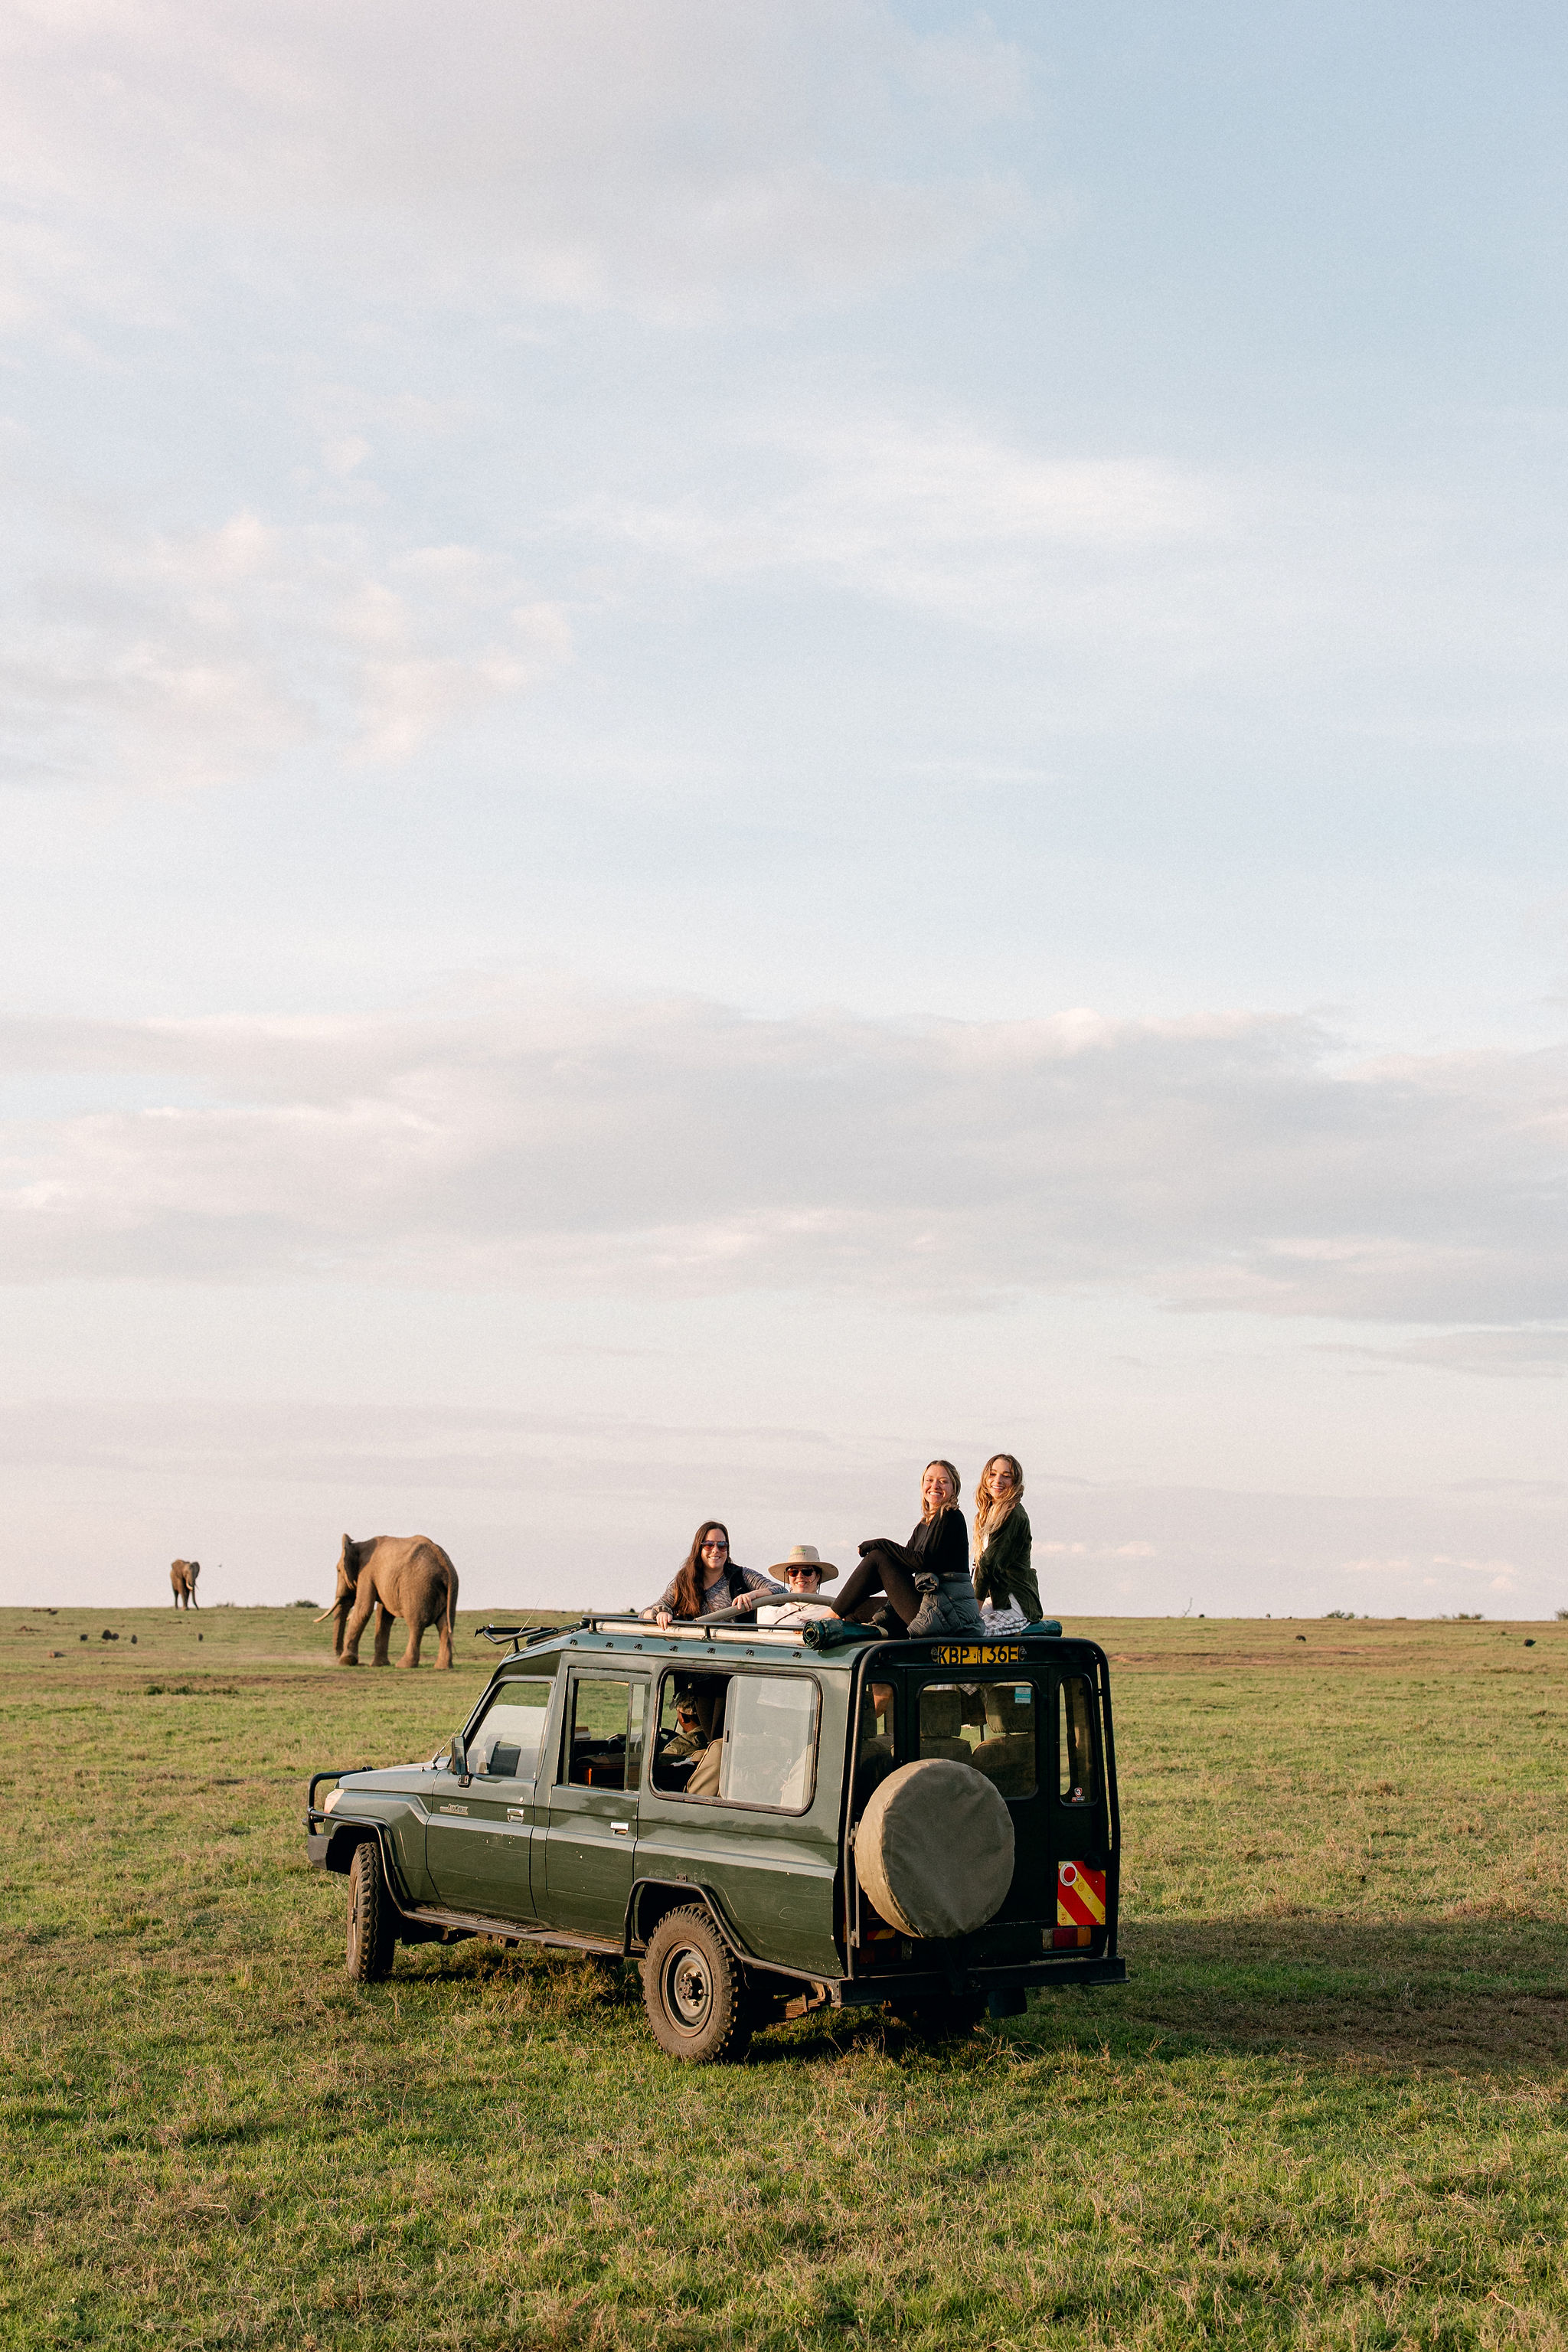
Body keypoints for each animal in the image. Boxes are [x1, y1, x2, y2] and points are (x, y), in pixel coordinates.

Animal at [315, 1524, 456, 1674]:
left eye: (338, 1570)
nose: (337, 1654)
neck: (359, 1545)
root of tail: (445, 1565)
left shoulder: (367, 1573)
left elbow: (364, 1609)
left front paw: (346, 1661)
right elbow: (384, 1616)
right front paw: (378, 1665)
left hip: (418, 1587)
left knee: (416, 1624)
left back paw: (403, 1665)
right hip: (449, 1590)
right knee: (445, 1625)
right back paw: (443, 1667)